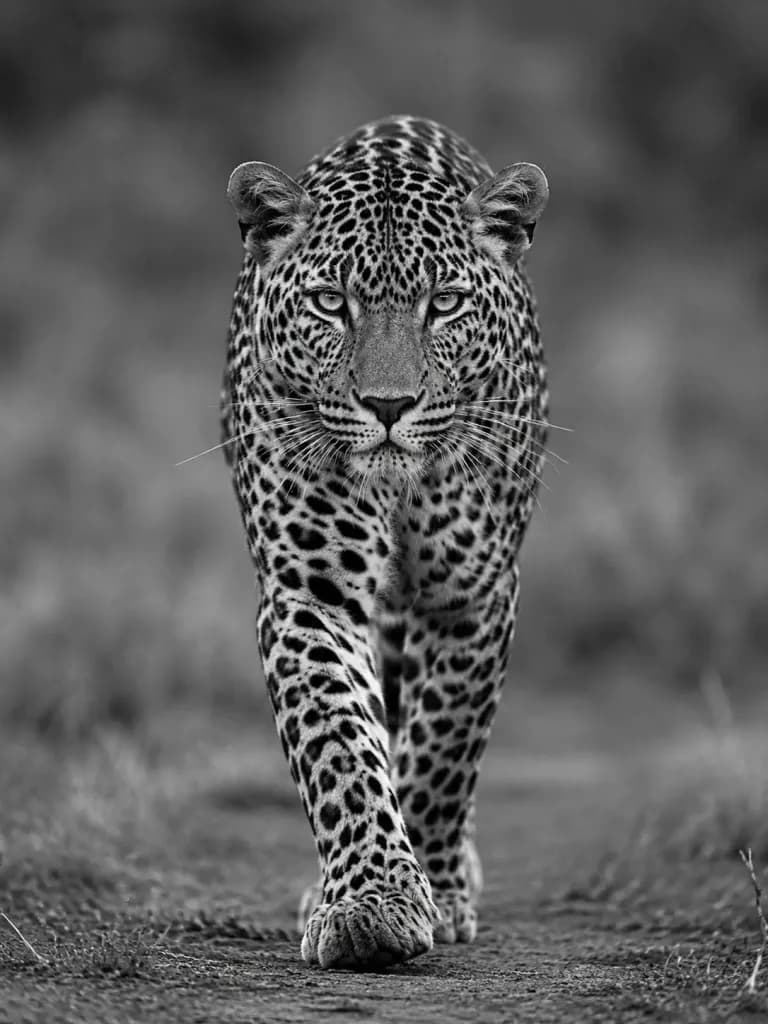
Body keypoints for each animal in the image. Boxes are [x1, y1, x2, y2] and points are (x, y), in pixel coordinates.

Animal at [220, 115, 549, 970]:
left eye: (447, 304)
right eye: (331, 304)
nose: (390, 405)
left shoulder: (472, 594)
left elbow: (443, 751)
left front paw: (436, 888)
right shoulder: (312, 593)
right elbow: (339, 745)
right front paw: (371, 904)